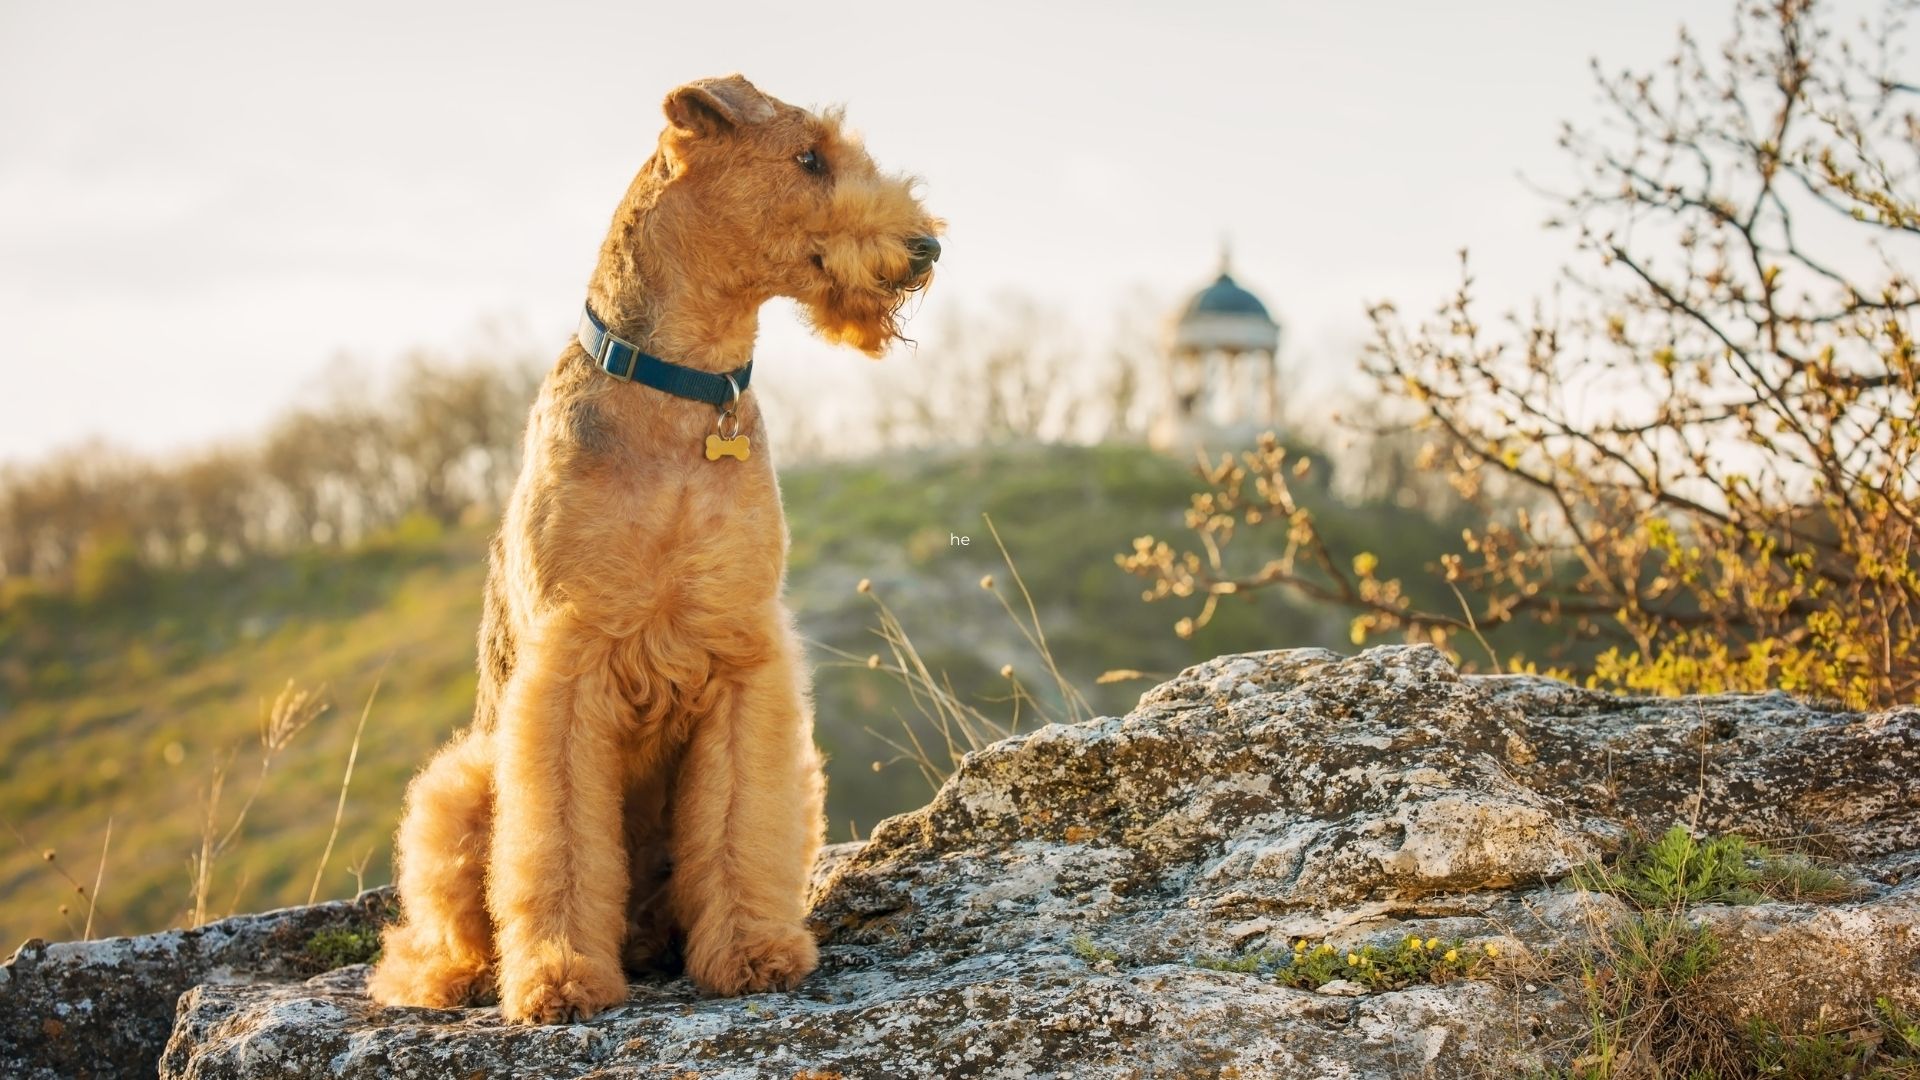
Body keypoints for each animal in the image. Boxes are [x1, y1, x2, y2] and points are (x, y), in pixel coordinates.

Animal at [362, 73, 940, 1014]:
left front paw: (753, 951)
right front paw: (560, 979)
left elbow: (739, 826)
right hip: (460, 783)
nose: (927, 246)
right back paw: (455, 975)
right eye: (808, 157)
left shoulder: (743, 655)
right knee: (438, 925)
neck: (687, 395)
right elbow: (557, 843)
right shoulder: (570, 662)